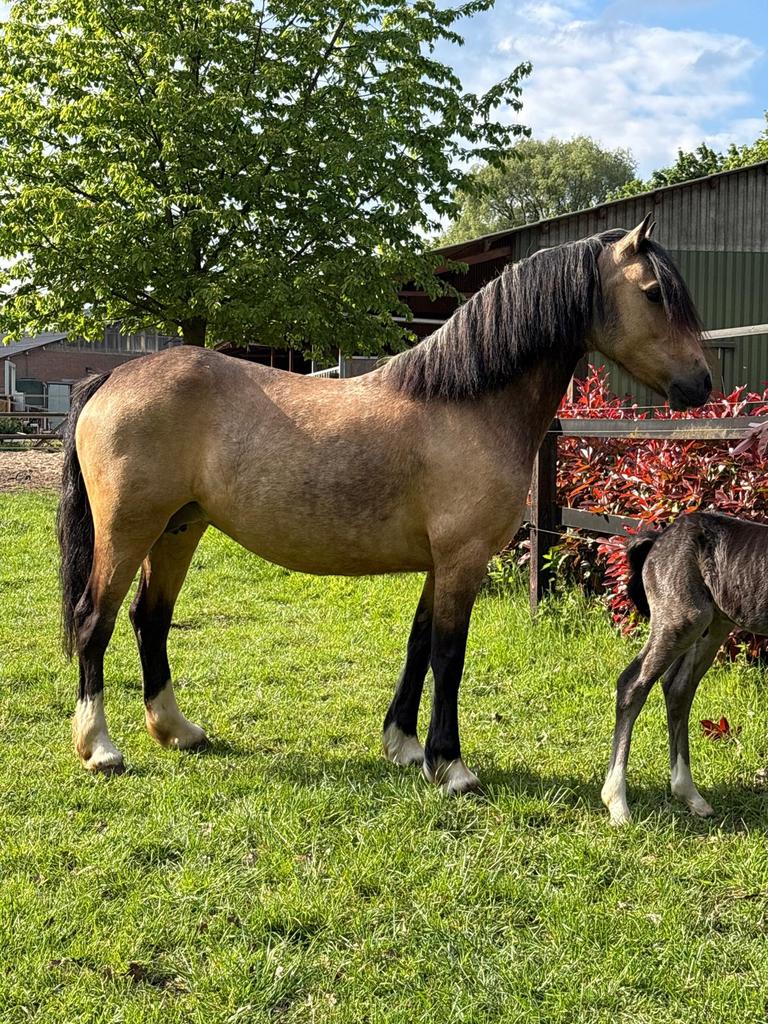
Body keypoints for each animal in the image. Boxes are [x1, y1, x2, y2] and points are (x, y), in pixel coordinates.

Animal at [57, 215, 711, 789]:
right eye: (654, 293)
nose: (700, 385)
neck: (467, 402)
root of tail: (114, 378)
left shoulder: (441, 562)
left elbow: (419, 646)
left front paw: (405, 746)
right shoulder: (462, 559)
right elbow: (449, 655)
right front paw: (451, 766)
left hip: (179, 528)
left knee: (150, 619)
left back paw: (176, 730)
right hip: (128, 531)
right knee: (95, 619)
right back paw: (100, 748)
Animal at [602, 512, 768, 825]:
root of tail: (659, 539)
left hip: (713, 626)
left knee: (678, 687)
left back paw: (689, 794)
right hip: (682, 620)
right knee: (632, 684)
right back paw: (617, 803)